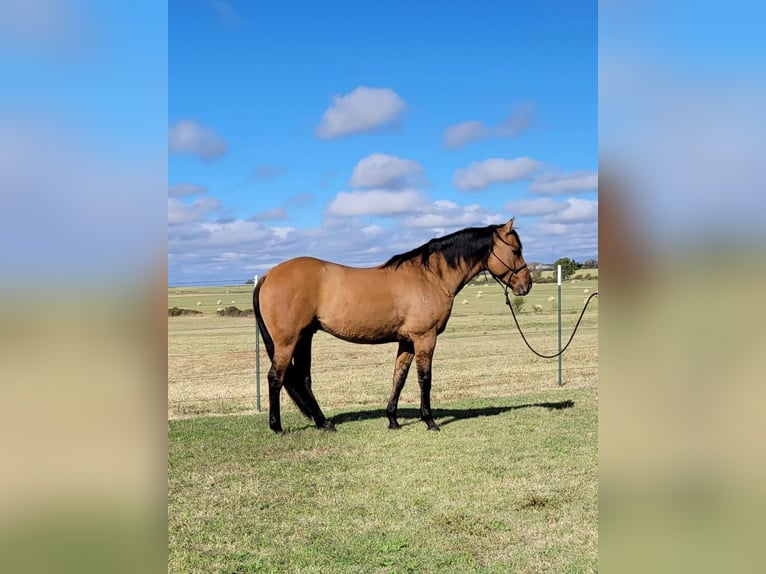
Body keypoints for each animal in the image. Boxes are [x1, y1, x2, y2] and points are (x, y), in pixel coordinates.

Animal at [255, 218, 532, 434]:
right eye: (515, 250)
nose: (526, 285)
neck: (431, 276)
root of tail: (268, 275)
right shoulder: (425, 338)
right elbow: (424, 378)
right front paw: (430, 421)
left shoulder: (407, 341)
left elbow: (398, 377)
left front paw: (393, 420)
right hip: (288, 341)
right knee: (275, 378)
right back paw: (277, 427)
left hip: (305, 338)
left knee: (303, 379)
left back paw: (324, 423)